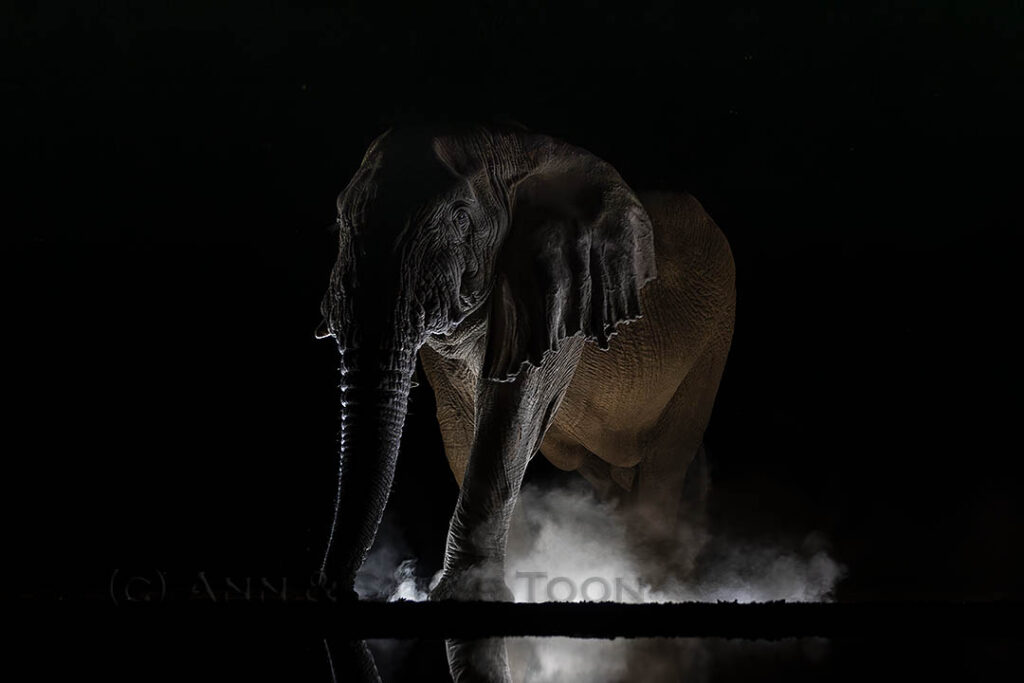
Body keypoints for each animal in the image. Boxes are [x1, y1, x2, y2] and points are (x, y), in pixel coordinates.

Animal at [316, 123, 735, 606]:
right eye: (340, 221)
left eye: (461, 220)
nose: (340, 593)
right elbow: (462, 422)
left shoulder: (560, 291)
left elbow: (512, 411)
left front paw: (470, 592)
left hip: (712, 341)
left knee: (663, 465)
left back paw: (653, 582)